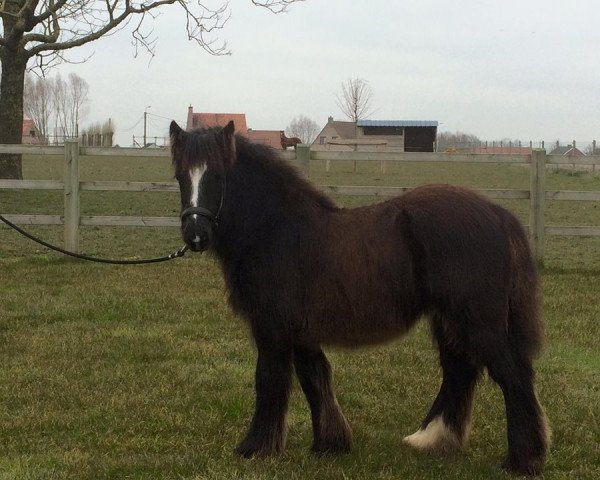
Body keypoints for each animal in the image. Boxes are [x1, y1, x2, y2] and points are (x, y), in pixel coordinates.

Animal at [168, 121, 548, 476]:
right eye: (180, 176)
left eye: (218, 175)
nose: (196, 234)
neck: (276, 232)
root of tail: (498, 214)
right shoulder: (301, 332)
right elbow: (315, 378)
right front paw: (330, 443)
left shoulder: (272, 330)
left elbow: (269, 381)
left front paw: (255, 448)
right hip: (448, 320)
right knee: (460, 371)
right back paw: (433, 439)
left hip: (478, 321)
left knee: (512, 375)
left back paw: (523, 460)